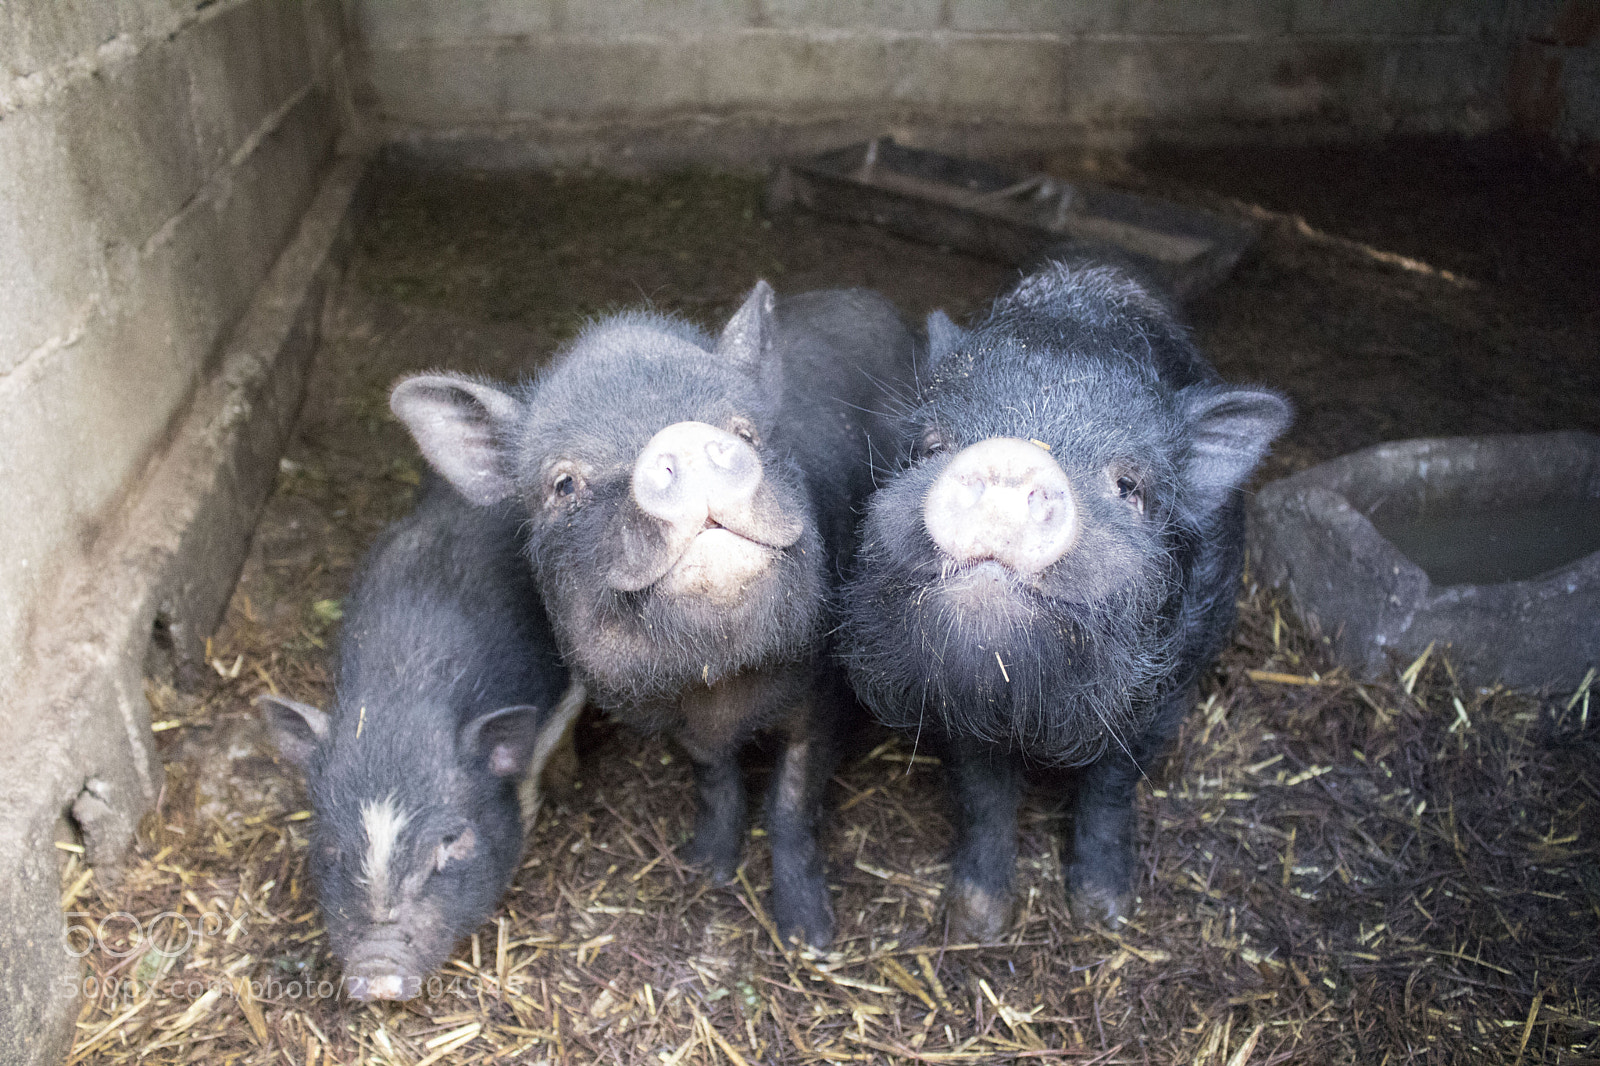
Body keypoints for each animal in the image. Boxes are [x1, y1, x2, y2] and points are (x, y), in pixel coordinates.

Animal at [389, 282, 919, 947]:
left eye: (746, 433)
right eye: (563, 484)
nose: (683, 438)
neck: (719, 685)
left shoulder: (824, 695)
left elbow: (792, 803)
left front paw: (811, 939)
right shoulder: (674, 718)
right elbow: (713, 777)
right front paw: (706, 870)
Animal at [840, 260, 1291, 940]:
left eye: (1129, 485)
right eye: (931, 448)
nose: (1009, 456)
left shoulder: (1169, 690)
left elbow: (1111, 784)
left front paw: (1105, 913)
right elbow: (982, 792)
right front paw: (975, 923)